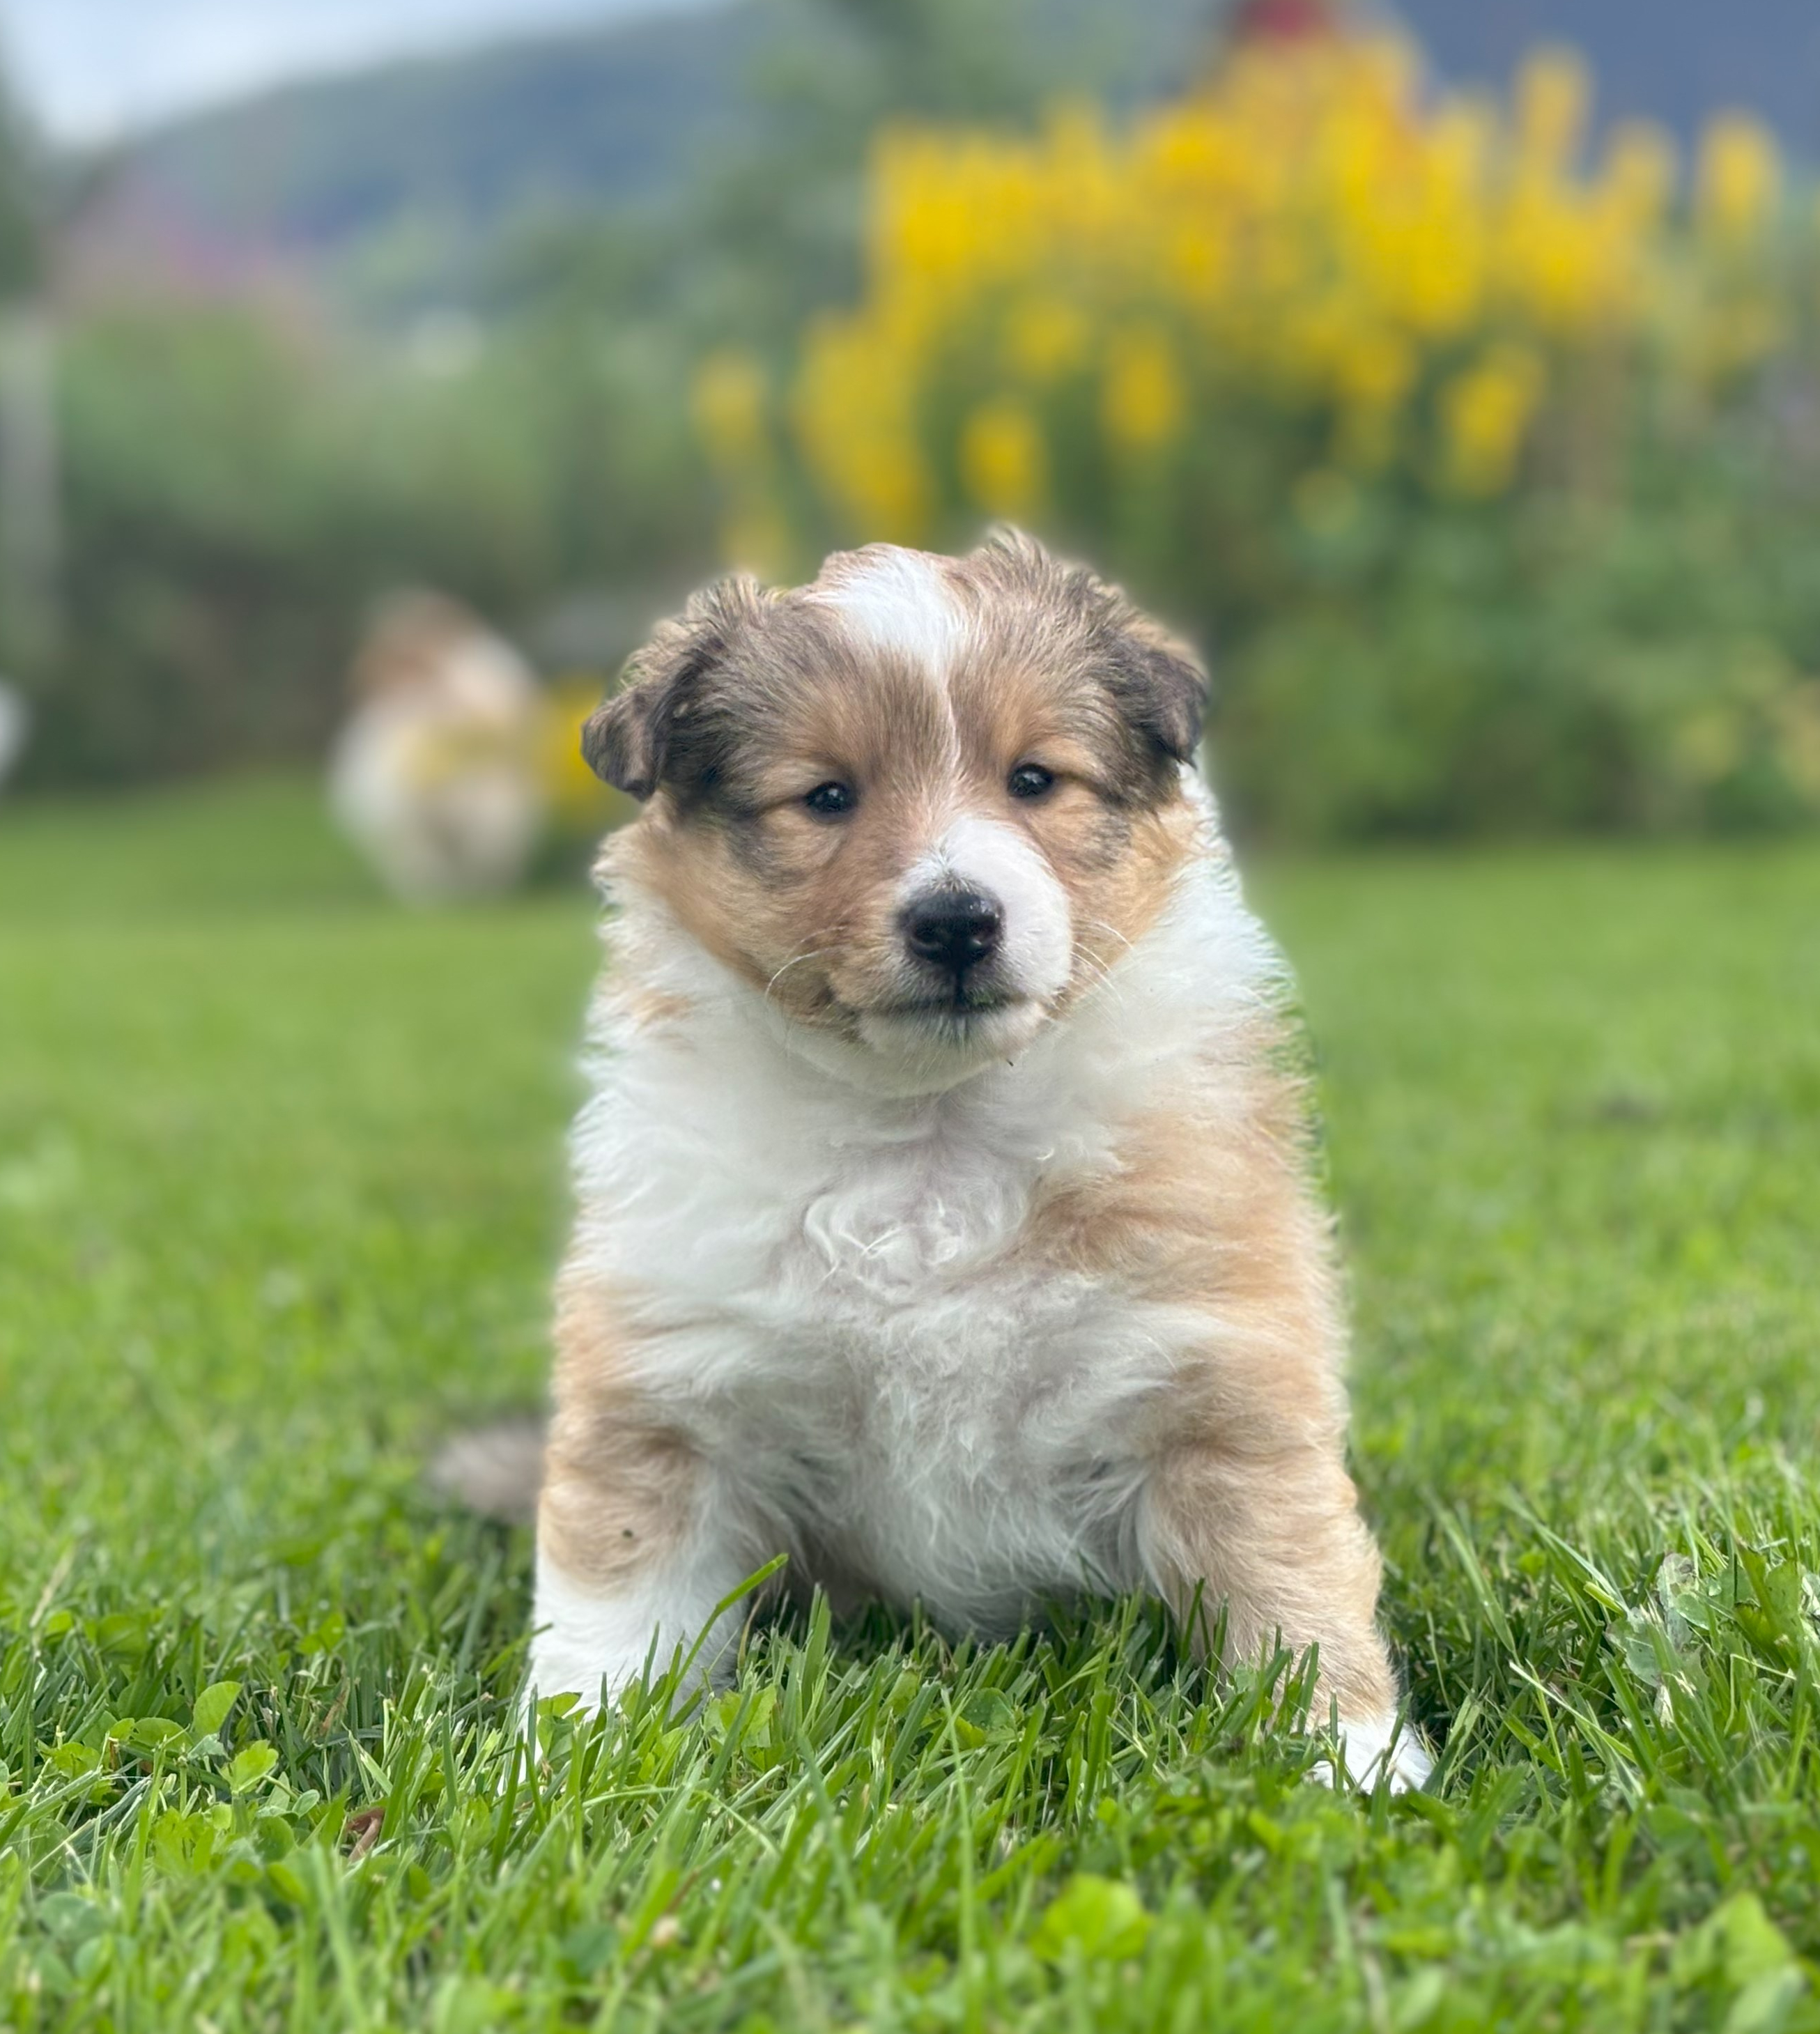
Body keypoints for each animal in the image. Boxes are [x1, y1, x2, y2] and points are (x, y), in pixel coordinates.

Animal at [532, 532, 1431, 1789]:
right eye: (827, 794)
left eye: (1034, 779)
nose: (958, 920)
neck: (932, 1131)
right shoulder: (675, 1391)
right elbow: (613, 1601)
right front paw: (564, 1766)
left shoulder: (1212, 1372)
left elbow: (1285, 1574)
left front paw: (1350, 1761)